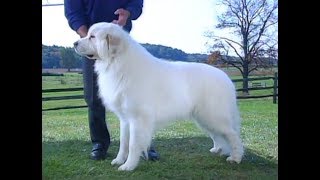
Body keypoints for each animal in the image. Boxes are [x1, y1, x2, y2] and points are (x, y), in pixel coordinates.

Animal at [74, 22, 244, 170]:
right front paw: (119, 160)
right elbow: (123, 143)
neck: (117, 63)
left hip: (214, 116)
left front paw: (128, 166)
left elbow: (133, 144)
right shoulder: (125, 119)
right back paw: (217, 149)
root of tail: (226, 78)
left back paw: (235, 158)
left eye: (92, 37)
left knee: (233, 135)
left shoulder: (138, 118)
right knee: (218, 135)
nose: (75, 43)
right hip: (204, 118)